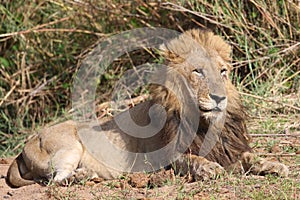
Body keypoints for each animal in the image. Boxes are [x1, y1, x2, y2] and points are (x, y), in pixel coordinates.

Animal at [6, 29, 288, 188]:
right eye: (198, 71)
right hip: (68, 147)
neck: (202, 121)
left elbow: (250, 158)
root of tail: (26, 145)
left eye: (223, 71)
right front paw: (209, 169)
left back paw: (87, 175)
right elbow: (191, 160)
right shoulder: (163, 155)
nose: (219, 98)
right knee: (54, 181)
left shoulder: (229, 149)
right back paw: (80, 178)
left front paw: (275, 165)